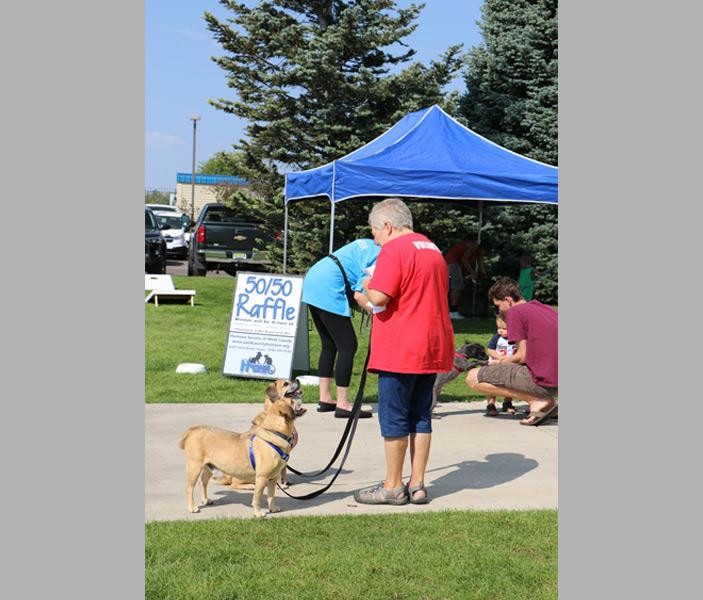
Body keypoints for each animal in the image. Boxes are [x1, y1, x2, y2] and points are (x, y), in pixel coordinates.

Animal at [179, 380, 306, 516]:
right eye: (291, 401)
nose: (298, 380)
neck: (274, 433)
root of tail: (193, 429)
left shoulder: (272, 478)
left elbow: (271, 495)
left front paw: (273, 508)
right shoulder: (261, 478)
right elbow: (257, 498)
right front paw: (258, 513)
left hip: (209, 467)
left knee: (203, 482)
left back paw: (205, 499)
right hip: (194, 467)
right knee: (189, 488)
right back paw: (192, 507)